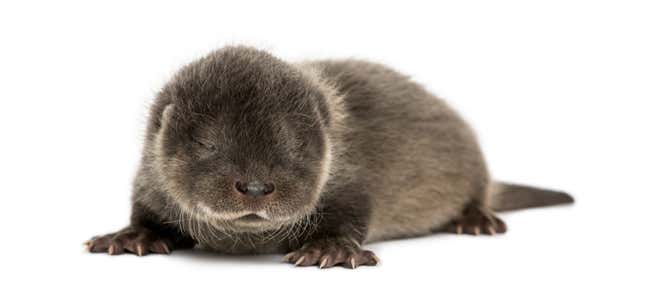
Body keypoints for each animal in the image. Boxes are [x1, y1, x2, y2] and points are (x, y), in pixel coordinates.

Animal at [85, 46, 572, 268]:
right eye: (208, 143)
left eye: (295, 144)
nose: (256, 186)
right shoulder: (150, 181)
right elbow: (145, 212)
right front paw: (131, 235)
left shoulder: (347, 177)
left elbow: (352, 212)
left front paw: (330, 248)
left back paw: (476, 219)